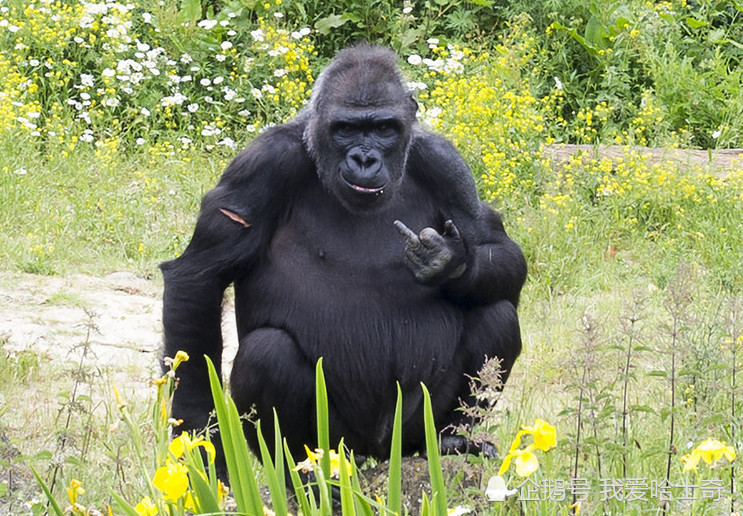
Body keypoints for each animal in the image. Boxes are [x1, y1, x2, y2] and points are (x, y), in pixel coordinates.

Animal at [160, 44, 528, 464]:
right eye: (346, 129)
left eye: (384, 128)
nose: (364, 160)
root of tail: (377, 453)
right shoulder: (262, 164)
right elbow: (199, 277)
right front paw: (197, 433)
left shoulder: (447, 165)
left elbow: (497, 248)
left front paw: (449, 262)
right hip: (338, 442)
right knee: (268, 353)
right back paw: (299, 468)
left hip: (407, 433)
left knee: (497, 314)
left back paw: (451, 438)